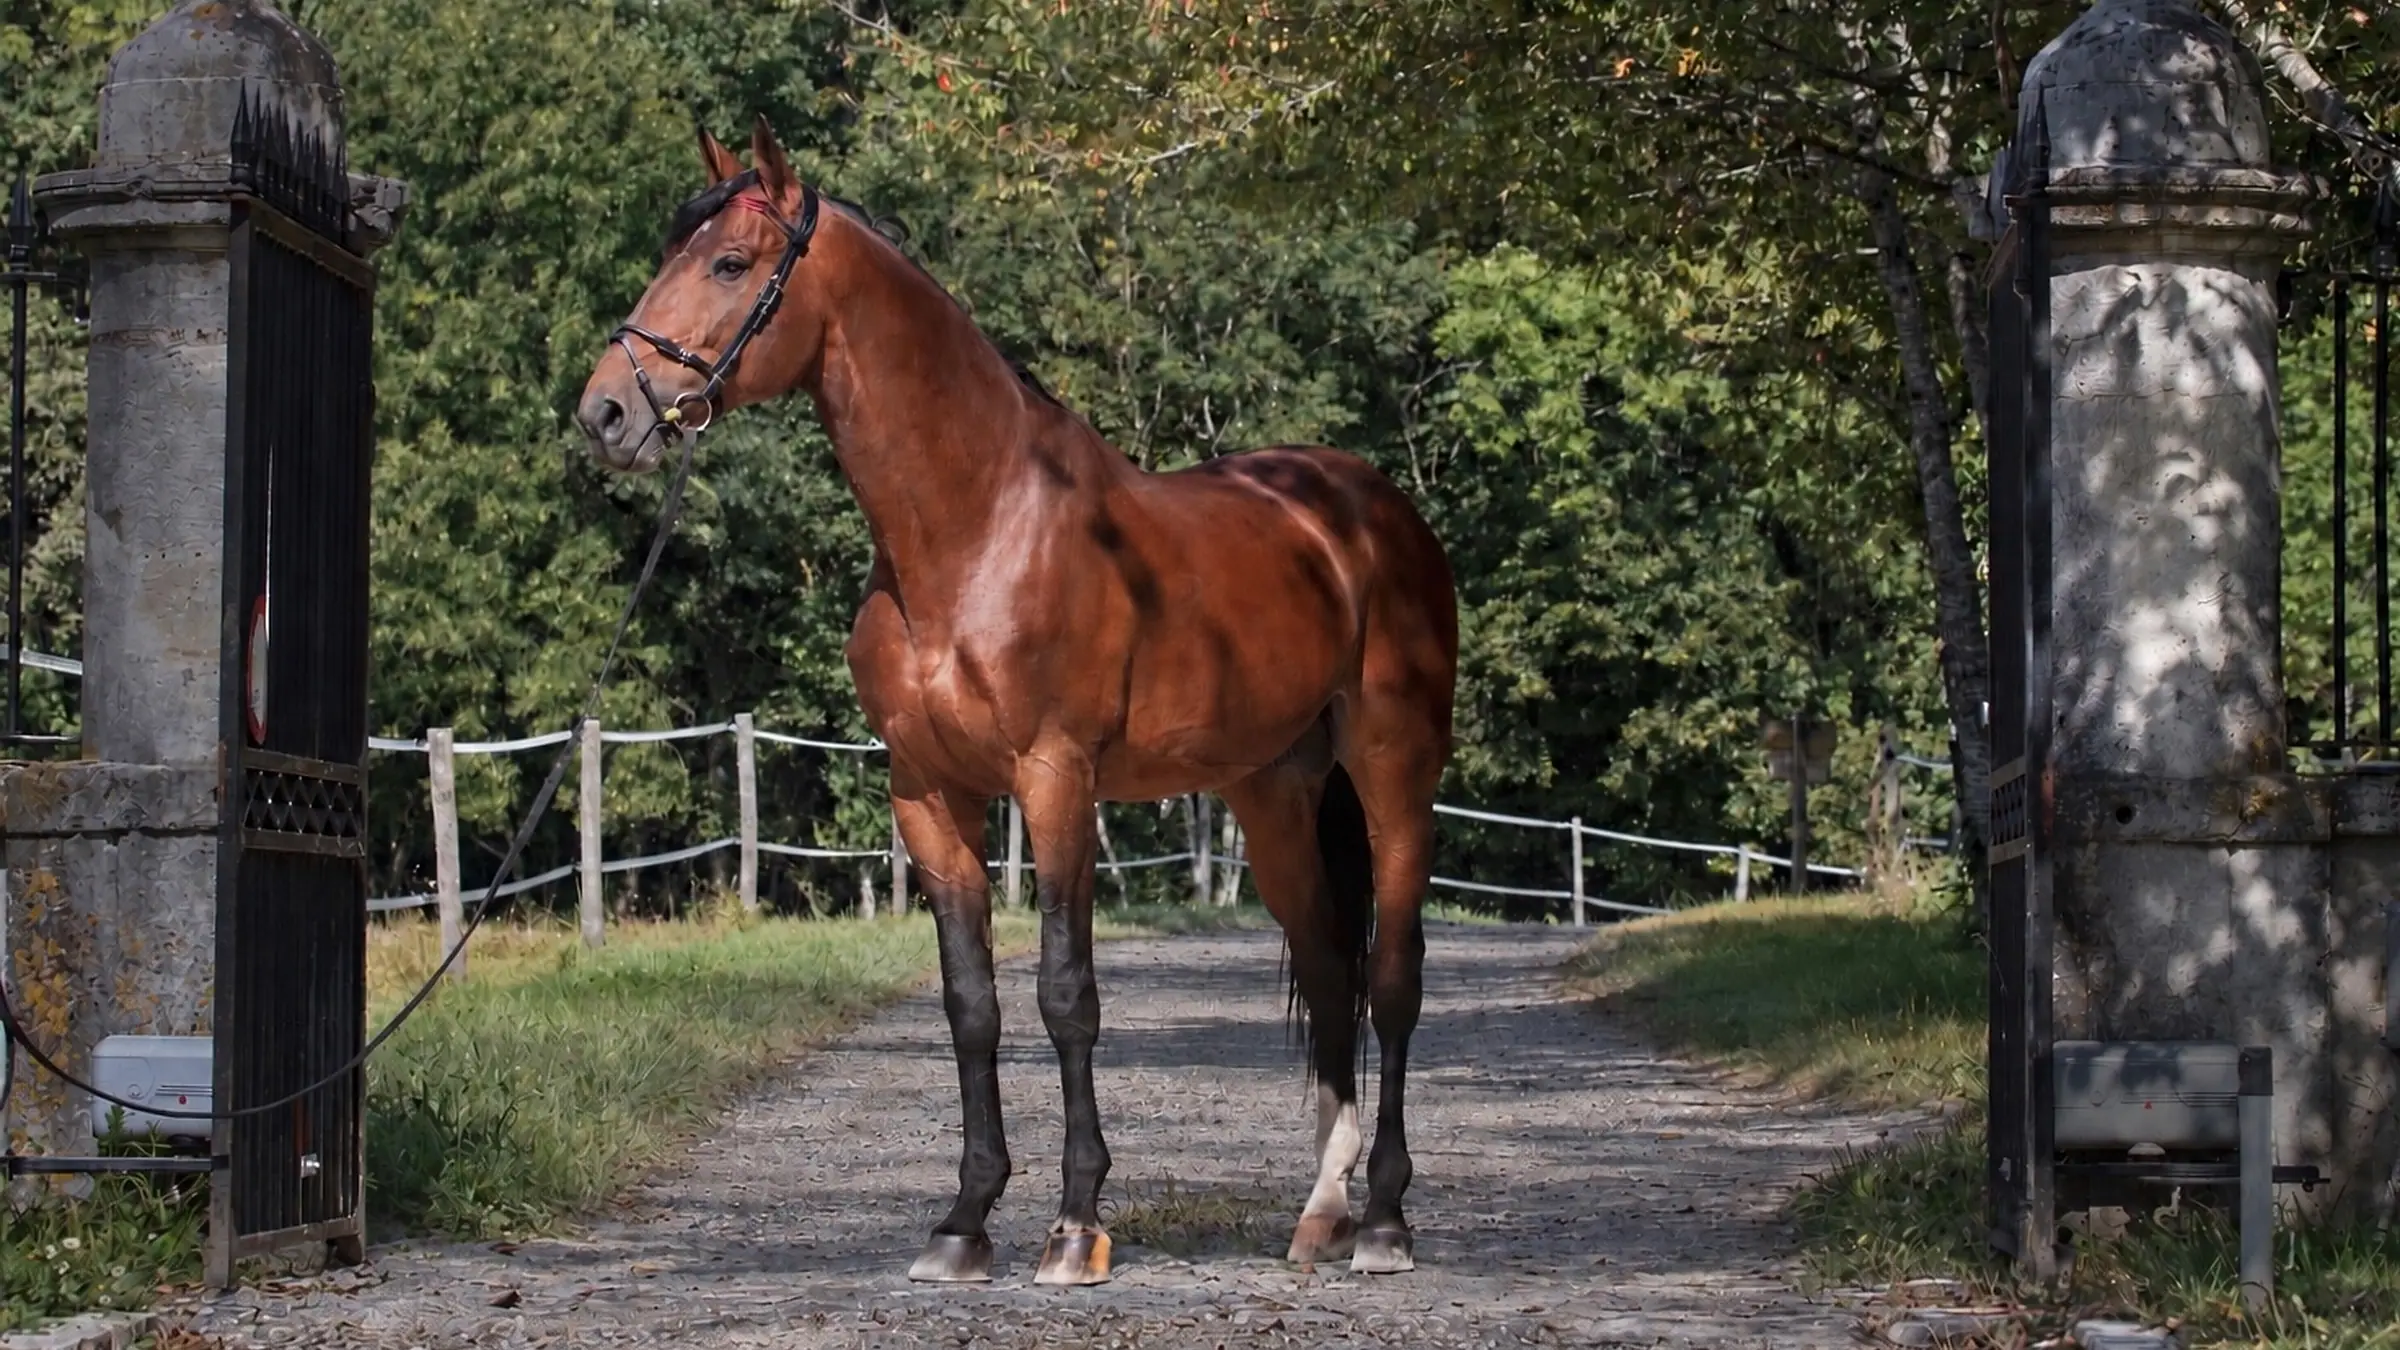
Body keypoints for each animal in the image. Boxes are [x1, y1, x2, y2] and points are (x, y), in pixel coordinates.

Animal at [573, 116, 1459, 1287]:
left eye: (729, 263)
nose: (605, 412)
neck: (979, 525)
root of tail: (1367, 511)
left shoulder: (1055, 779)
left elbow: (1065, 995)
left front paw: (1075, 1227)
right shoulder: (928, 792)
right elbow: (973, 1005)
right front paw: (963, 1222)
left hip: (1393, 767)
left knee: (1392, 977)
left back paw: (1388, 1224)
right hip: (1273, 796)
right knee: (1324, 969)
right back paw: (1320, 1217)